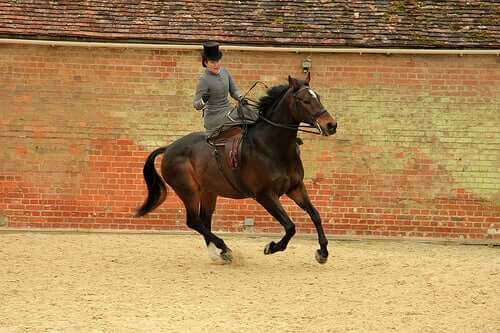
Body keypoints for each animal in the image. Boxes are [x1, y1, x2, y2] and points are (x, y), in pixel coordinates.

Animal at [136, 74, 336, 264]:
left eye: (318, 97)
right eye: (304, 100)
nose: (331, 125)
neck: (272, 146)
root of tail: (169, 148)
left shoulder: (295, 188)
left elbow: (315, 215)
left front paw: (323, 253)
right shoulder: (265, 195)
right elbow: (290, 226)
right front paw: (271, 247)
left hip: (209, 191)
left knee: (204, 219)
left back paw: (219, 254)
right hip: (188, 191)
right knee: (194, 221)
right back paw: (224, 248)